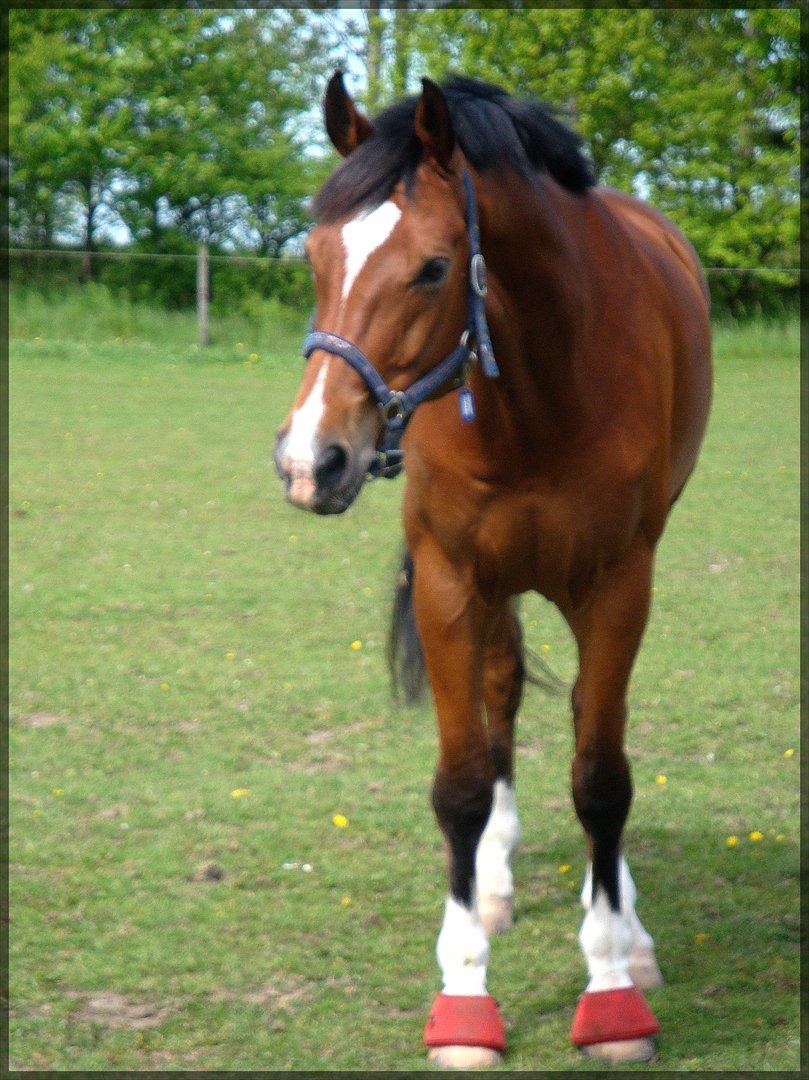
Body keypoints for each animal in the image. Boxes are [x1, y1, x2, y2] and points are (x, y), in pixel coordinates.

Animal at [274, 71, 708, 1067]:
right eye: (314, 256)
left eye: (433, 268)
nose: (312, 461)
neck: (542, 391)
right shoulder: (450, 582)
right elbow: (463, 782)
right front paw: (464, 995)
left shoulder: (617, 587)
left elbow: (601, 778)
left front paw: (611, 988)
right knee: (504, 691)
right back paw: (499, 882)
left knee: (590, 729)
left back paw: (625, 925)